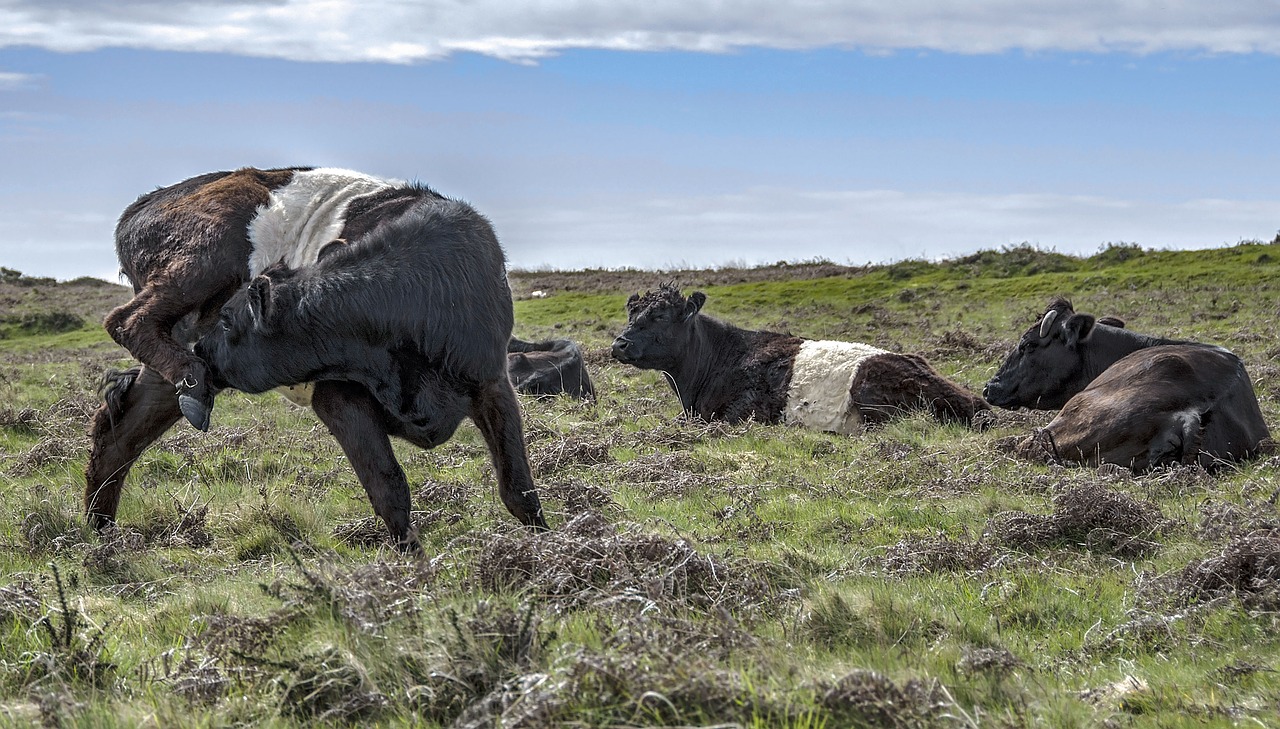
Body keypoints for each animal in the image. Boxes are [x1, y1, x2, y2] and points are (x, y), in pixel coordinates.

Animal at [87, 166, 547, 549]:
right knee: (126, 320)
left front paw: (546, 551)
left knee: (120, 431)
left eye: (229, 321)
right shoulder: (336, 395)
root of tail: (147, 202)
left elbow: (518, 487)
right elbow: (389, 489)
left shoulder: (491, 380)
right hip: (204, 260)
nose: (204, 349)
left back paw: (101, 534)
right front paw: (414, 575)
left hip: (180, 346)